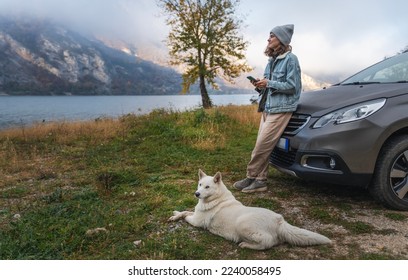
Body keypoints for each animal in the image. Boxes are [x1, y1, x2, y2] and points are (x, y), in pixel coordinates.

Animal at [169, 170, 332, 250]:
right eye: (200, 184)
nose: (196, 194)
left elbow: (186, 216)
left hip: (242, 224)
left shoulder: (197, 221)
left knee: (267, 243)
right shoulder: (196, 214)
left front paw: (177, 216)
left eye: (207, 187)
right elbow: (185, 211)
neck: (216, 198)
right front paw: (175, 214)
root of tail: (279, 220)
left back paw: (246, 245)